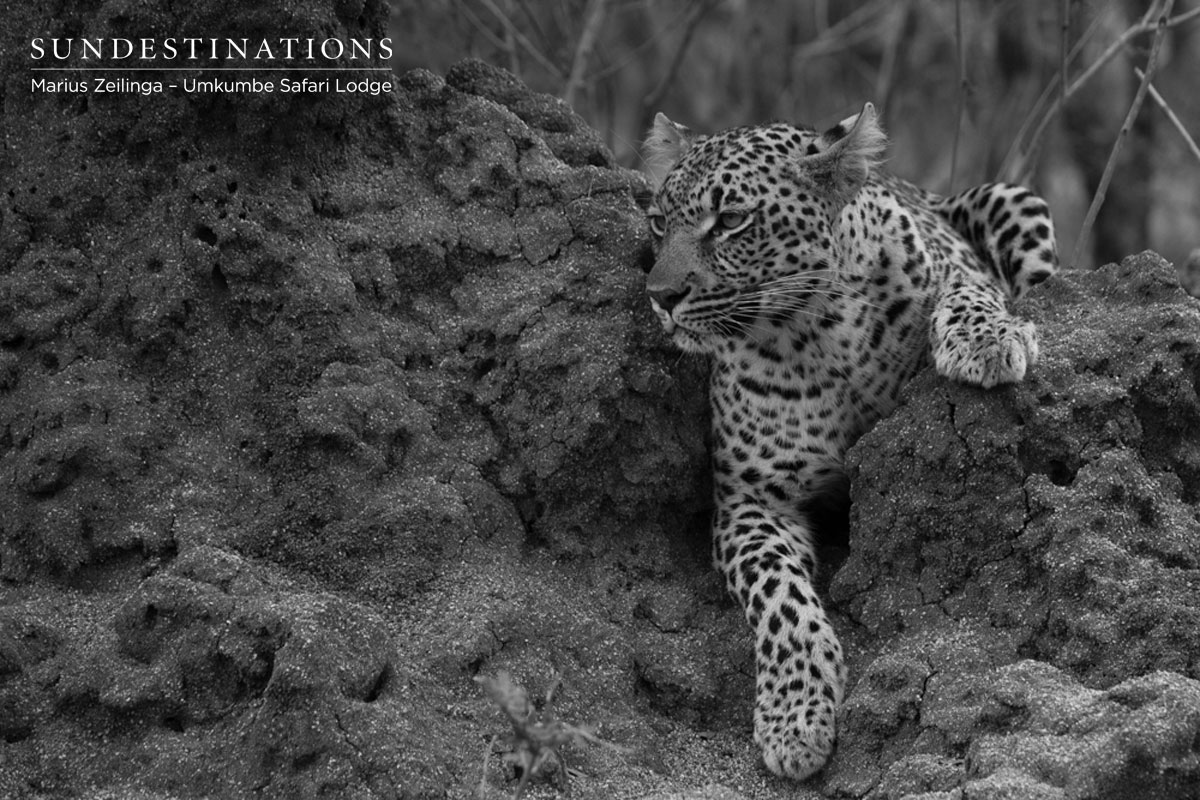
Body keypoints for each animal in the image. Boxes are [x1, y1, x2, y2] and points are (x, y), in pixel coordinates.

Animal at [640, 103, 1057, 780]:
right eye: (658, 222)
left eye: (730, 221)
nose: (661, 297)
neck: (814, 335)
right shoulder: (750, 501)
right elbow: (781, 599)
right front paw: (794, 718)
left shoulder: (957, 267)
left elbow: (968, 289)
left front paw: (986, 339)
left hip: (1014, 195)